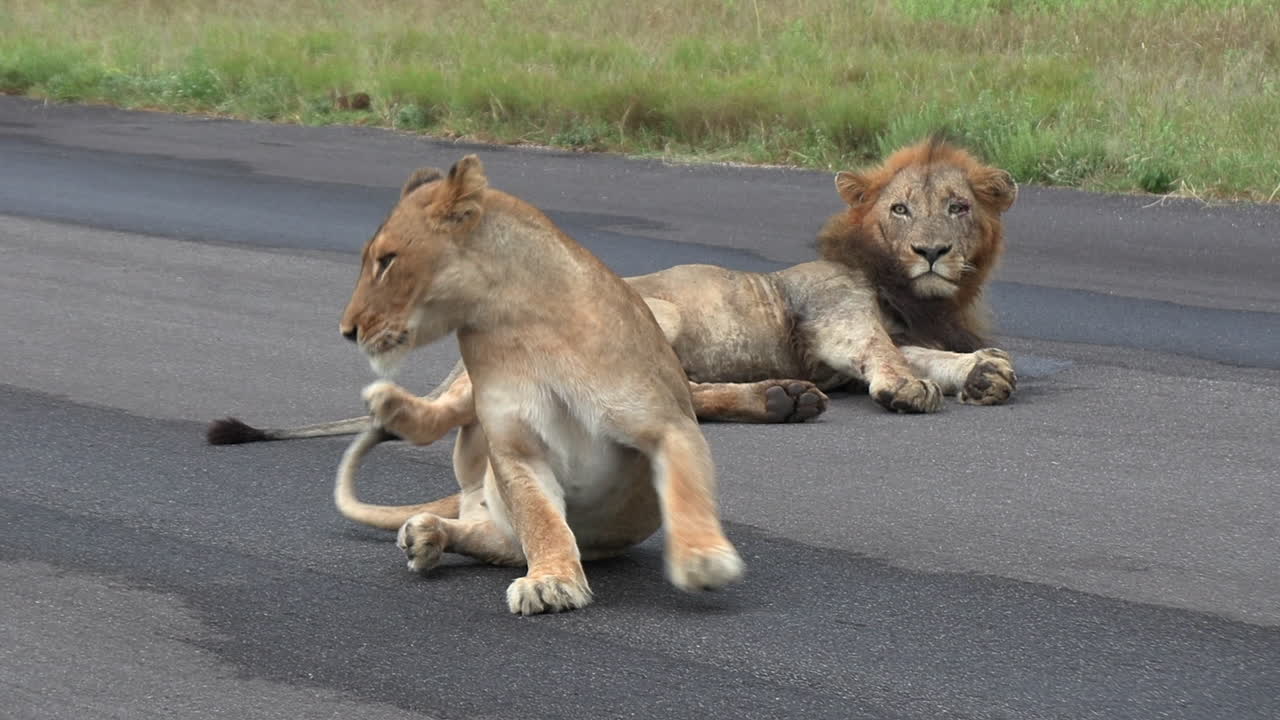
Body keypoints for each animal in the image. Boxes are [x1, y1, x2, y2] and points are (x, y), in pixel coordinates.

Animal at [208, 137, 1016, 449]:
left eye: (958, 208)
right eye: (901, 209)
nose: (933, 251)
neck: (905, 289)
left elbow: (927, 353)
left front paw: (985, 372)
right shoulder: (829, 312)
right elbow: (883, 349)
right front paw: (912, 388)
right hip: (650, 314)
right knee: (669, 395)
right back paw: (780, 399)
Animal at [333, 155, 743, 615]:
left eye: (387, 260)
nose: (347, 330)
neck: (516, 323)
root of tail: (468, 496)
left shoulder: (667, 422)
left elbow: (687, 489)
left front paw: (702, 559)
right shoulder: (516, 447)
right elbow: (541, 519)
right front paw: (552, 580)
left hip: (499, 526)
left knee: (484, 535)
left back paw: (425, 534)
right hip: (473, 406)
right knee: (448, 418)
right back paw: (395, 426)